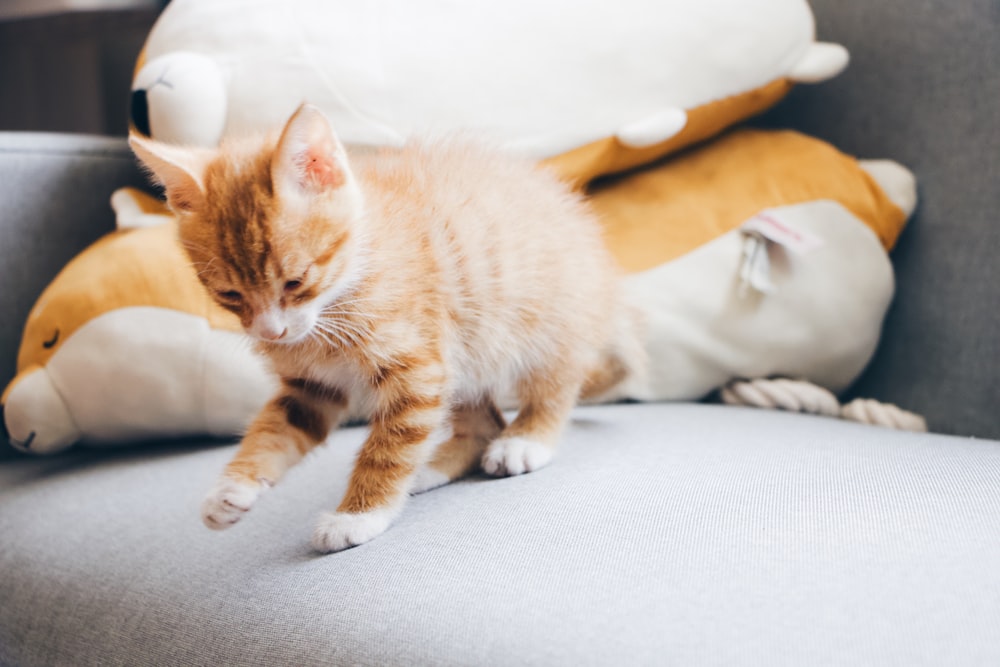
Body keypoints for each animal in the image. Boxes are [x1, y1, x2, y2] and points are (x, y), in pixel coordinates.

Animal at [126, 104, 624, 552]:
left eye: (295, 281)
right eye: (229, 295)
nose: (271, 334)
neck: (336, 301)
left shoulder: (418, 371)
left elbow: (388, 448)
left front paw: (358, 516)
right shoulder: (312, 387)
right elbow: (275, 429)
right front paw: (231, 490)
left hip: (547, 324)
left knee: (555, 385)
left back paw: (525, 440)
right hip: (468, 357)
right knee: (483, 422)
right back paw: (432, 466)